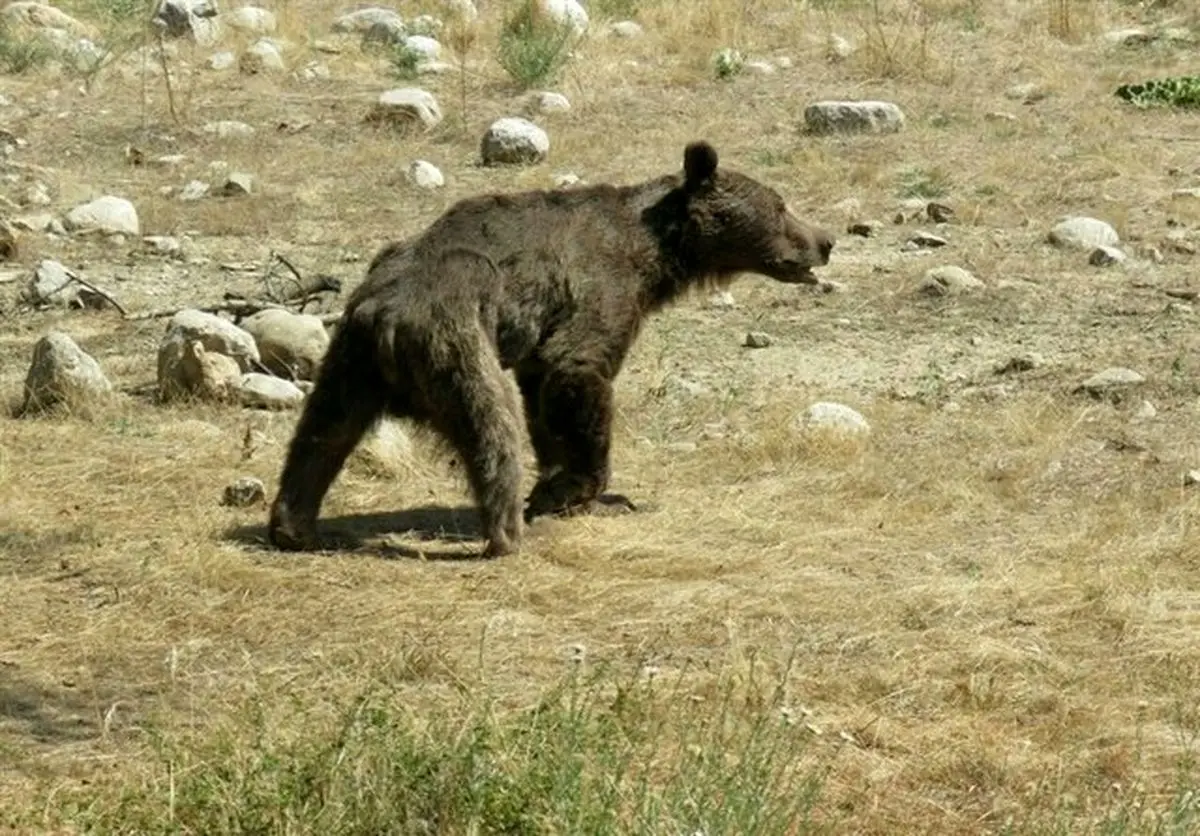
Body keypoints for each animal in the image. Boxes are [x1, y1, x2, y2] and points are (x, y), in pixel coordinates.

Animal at [270, 140, 835, 556]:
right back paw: (509, 533)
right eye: (780, 206)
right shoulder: (600, 288)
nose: (825, 241)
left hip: (350, 359)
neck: (656, 254)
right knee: (491, 424)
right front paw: (579, 491)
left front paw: (566, 488)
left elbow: (544, 397)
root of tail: (383, 315)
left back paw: (293, 525)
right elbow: (576, 370)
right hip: (456, 338)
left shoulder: (540, 338)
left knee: (322, 434)